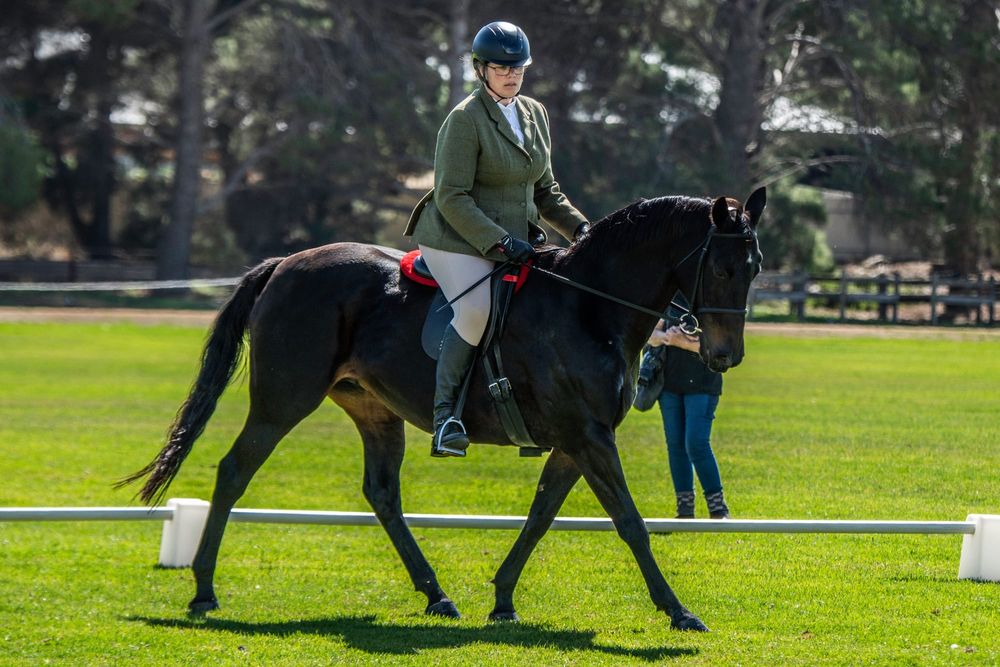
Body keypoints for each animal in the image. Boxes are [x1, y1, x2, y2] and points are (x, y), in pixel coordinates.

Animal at [121, 187, 766, 632]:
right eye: (722, 267)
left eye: (754, 267)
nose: (723, 355)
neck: (588, 306)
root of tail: (286, 262)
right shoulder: (588, 437)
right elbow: (629, 522)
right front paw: (679, 611)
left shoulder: (576, 440)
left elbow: (541, 515)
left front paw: (502, 598)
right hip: (283, 401)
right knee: (234, 471)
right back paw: (203, 590)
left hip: (374, 410)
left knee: (382, 493)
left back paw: (436, 594)